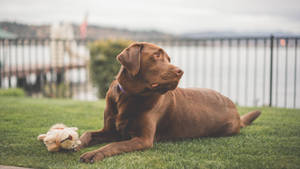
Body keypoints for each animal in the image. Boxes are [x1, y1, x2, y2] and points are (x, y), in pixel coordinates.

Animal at [78, 41, 262, 163]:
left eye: (168, 59)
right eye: (156, 55)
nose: (180, 71)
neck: (129, 96)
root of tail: (235, 109)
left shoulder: (143, 139)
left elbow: (114, 145)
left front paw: (94, 154)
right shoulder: (111, 130)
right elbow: (87, 134)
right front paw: (76, 144)